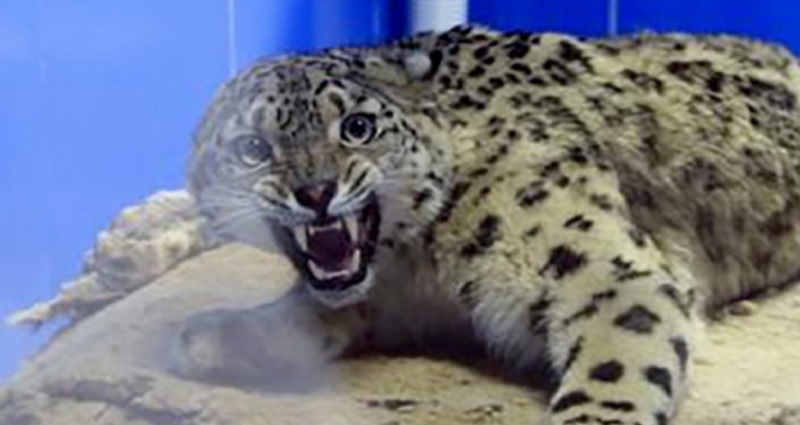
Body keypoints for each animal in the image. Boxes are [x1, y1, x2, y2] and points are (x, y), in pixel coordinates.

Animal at [173, 24, 800, 425]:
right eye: (253, 148)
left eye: (357, 126)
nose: (315, 192)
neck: (416, 262)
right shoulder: (389, 302)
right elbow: (308, 314)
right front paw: (211, 334)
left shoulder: (597, 264)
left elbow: (618, 355)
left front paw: (592, 417)